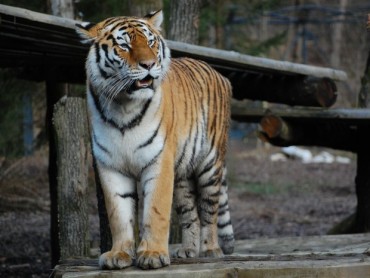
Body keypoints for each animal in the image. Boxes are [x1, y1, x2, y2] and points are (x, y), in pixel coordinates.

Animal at [76, 10, 234, 270]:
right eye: (124, 45)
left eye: (151, 42)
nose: (148, 65)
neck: (123, 106)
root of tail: (218, 73)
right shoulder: (111, 166)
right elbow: (119, 214)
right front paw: (118, 254)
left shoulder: (159, 162)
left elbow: (155, 211)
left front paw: (152, 254)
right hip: (182, 174)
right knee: (190, 213)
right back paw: (189, 249)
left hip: (210, 164)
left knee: (209, 209)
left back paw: (211, 249)